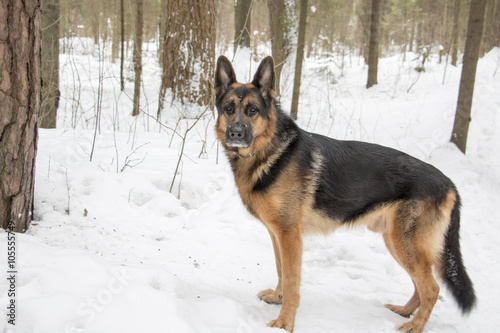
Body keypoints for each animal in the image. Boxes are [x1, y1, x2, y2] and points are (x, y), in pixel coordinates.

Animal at [213, 55, 474, 330]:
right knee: (420, 285)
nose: (235, 133)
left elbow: (293, 282)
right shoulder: (277, 234)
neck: (269, 152)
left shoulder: (290, 237)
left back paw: (415, 326)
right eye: (228, 108)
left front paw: (285, 322)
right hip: (397, 242)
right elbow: (280, 269)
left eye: (252, 110)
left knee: (432, 289)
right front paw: (277, 297)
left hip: (405, 244)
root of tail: (449, 183)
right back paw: (405, 311)